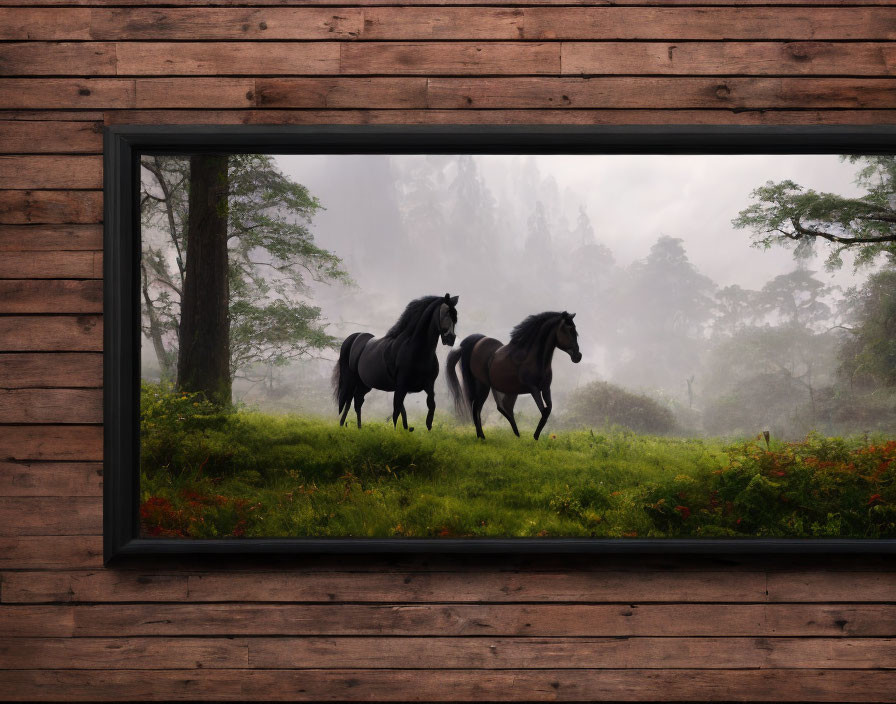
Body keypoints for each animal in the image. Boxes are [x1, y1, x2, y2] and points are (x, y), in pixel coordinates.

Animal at [332, 294, 458, 432]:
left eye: (455, 316)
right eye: (446, 313)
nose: (451, 338)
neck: (416, 351)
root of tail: (353, 338)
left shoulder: (428, 386)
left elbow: (430, 407)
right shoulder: (401, 385)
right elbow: (397, 410)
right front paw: (397, 433)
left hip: (364, 384)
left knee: (358, 401)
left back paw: (359, 428)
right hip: (350, 380)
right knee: (348, 401)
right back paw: (342, 425)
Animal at [446, 312, 580, 440]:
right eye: (568, 330)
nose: (578, 356)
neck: (534, 358)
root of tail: (478, 341)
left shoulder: (546, 388)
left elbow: (548, 410)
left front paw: (535, 436)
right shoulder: (534, 389)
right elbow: (544, 411)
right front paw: (535, 437)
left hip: (506, 390)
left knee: (503, 408)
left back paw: (515, 435)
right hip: (483, 386)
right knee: (477, 408)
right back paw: (482, 436)